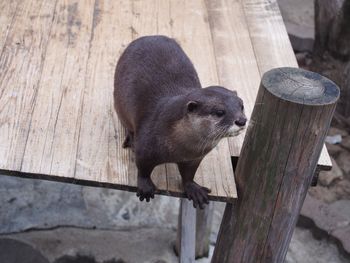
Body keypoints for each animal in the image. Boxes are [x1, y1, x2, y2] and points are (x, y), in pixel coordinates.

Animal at [113, 35, 245, 208]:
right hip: (119, 103)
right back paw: (129, 138)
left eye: (242, 105)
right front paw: (145, 186)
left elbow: (188, 174)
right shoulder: (145, 147)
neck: (181, 149)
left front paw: (194, 189)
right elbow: (143, 167)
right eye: (219, 112)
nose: (242, 120)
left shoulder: (194, 159)